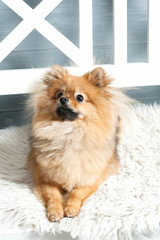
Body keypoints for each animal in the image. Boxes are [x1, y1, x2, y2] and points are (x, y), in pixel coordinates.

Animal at [26, 65, 131, 221]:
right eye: (59, 94)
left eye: (79, 97)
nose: (63, 99)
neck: (69, 133)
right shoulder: (45, 179)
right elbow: (53, 196)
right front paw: (55, 211)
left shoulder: (89, 179)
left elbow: (76, 193)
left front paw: (70, 208)